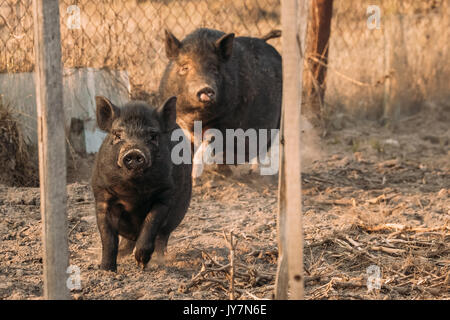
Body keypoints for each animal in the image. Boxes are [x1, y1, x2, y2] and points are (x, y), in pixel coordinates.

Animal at [90, 95, 191, 270]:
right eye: (117, 135)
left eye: (153, 136)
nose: (134, 152)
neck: (133, 195)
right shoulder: (102, 195)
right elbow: (108, 238)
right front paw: (106, 270)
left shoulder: (165, 195)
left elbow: (150, 224)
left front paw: (141, 263)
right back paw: (123, 255)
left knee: (162, 237)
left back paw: (159, 261)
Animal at [158, 28, 282, 168]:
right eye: (185, 67)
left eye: (214, 68)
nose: (206, 89)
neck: (196, 119)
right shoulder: (181, 122)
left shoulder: (224, 124)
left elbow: (203, 150)